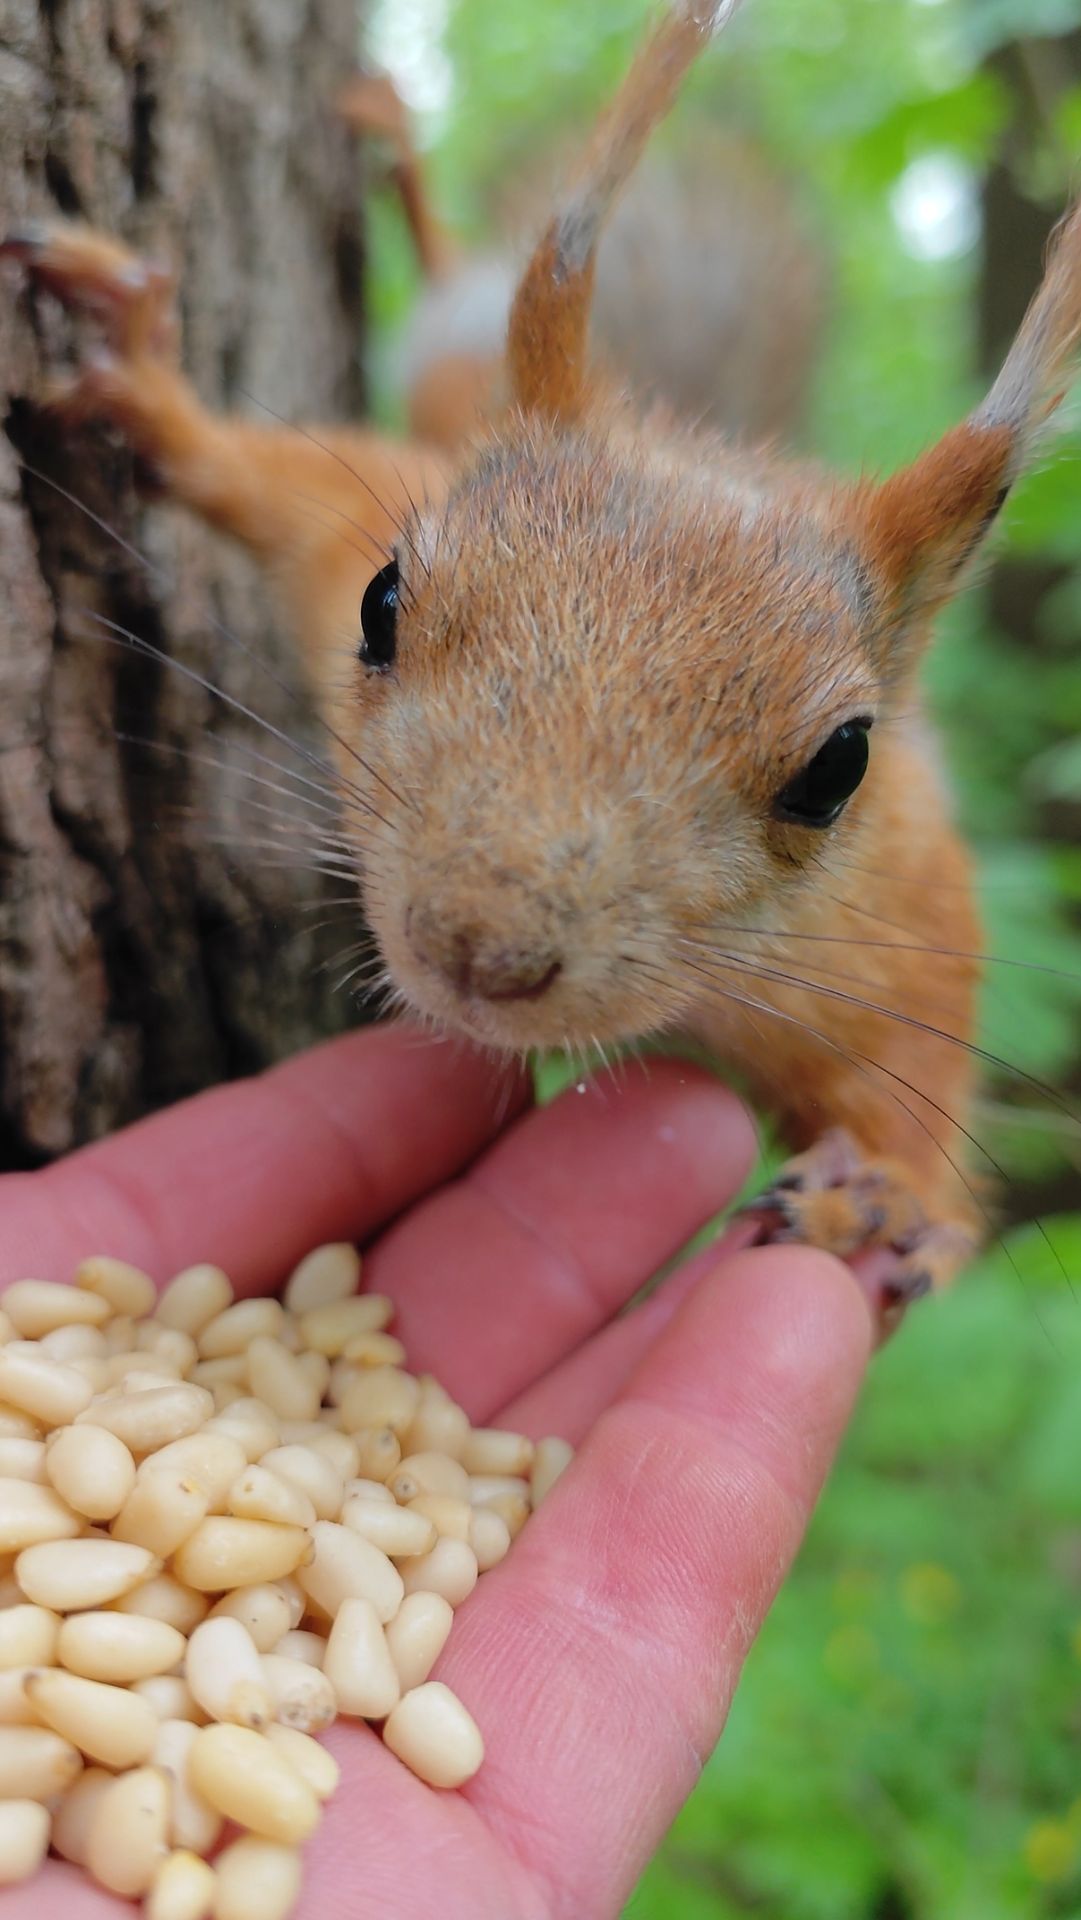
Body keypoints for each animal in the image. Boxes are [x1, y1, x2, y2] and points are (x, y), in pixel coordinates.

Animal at [4, 0, 1079, 1307]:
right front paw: (154, 397)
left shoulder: (899, 907)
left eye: (839, 770)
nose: (479, 952)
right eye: (380, 604)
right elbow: (269, 476)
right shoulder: (344, 528)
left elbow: (918, 1058)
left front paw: (888, 1193)